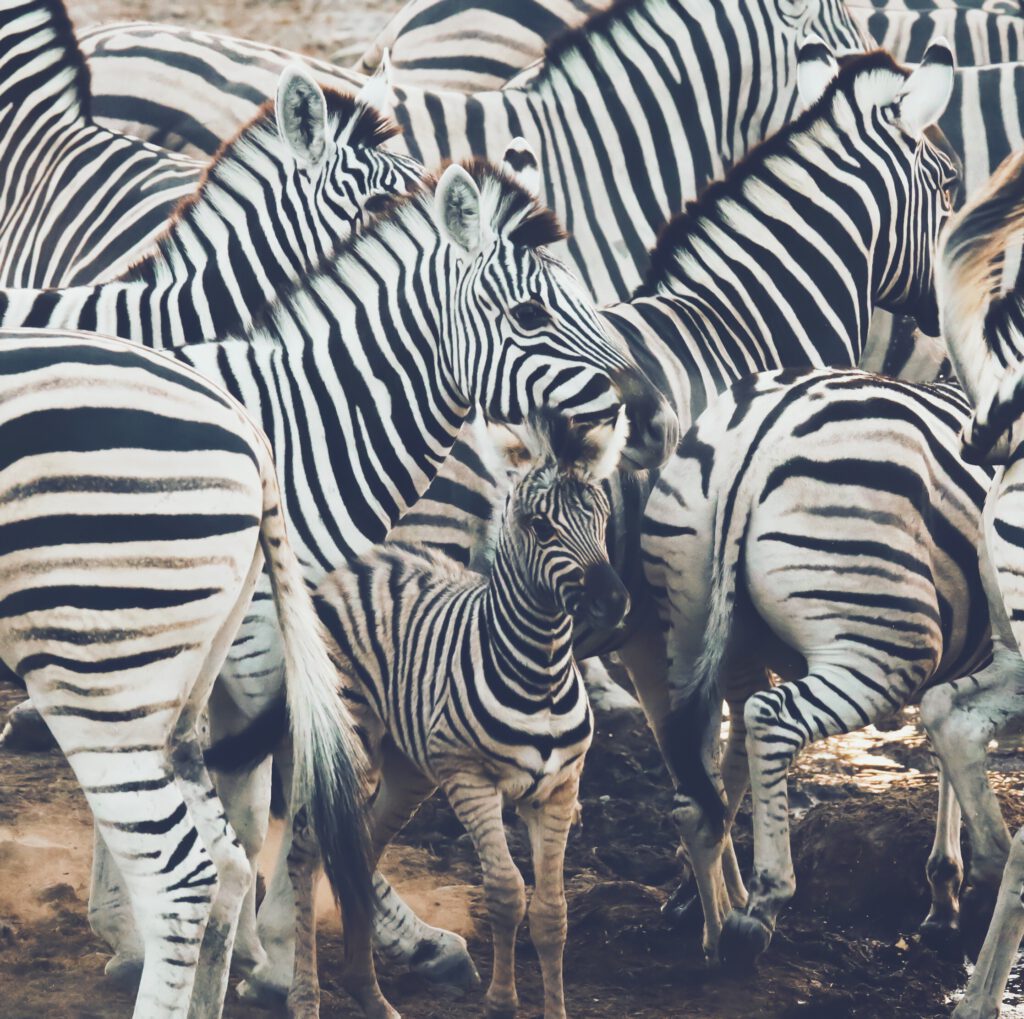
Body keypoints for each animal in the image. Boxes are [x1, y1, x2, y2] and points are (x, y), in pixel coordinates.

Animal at [211, 410, 630, 1019]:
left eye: (600, 516)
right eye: (538, 526)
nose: (613, 601)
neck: (543, 673)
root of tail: (359, 567)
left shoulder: (559, 788)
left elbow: (553, 912)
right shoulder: (471, 779)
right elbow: (507, 892)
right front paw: (500, 1003)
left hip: (409, 770)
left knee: (360, 848)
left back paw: (369, 994)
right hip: (350, 746)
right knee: (311, 851)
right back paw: (304, 996)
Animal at [639, 367, 992, 965]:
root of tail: (757, 436)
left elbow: (950, 750)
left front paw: (944, 896)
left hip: (689, 624)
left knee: (697, 779)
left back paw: (710, 931)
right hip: (882, 640)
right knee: (770, 718)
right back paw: (761, 908)